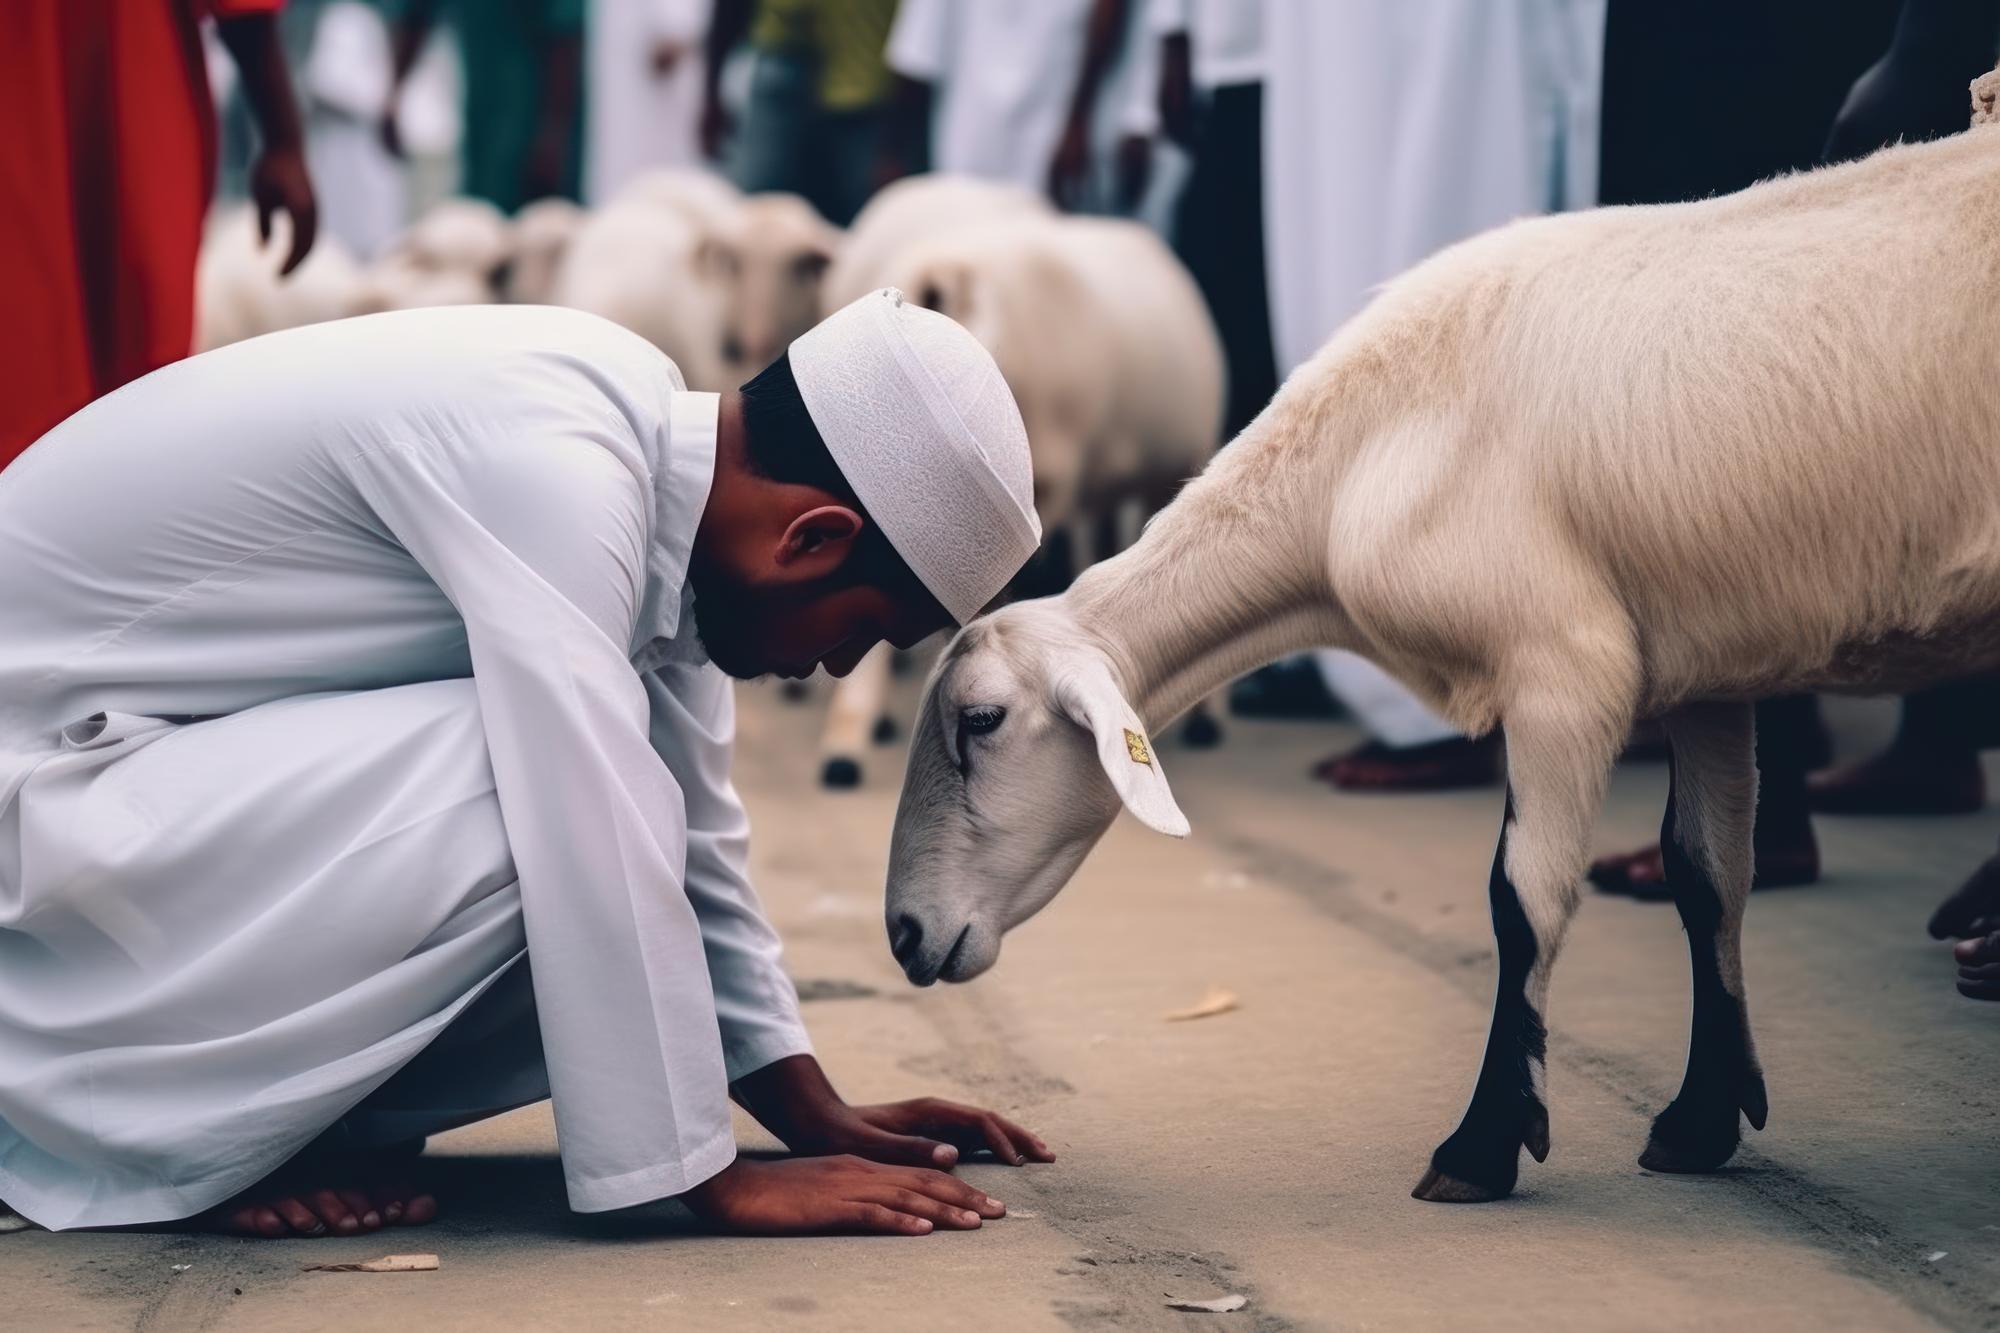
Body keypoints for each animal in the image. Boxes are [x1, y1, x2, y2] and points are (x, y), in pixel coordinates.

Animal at [884, 91, 2000, 1192]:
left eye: (980, 721)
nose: (902, 932)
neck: (1357, 463)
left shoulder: (1565, 668)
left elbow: (1521, 900)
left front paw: (1482, 1143)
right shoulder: (1702, 671)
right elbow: (1707, 876)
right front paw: (1699, 1119)